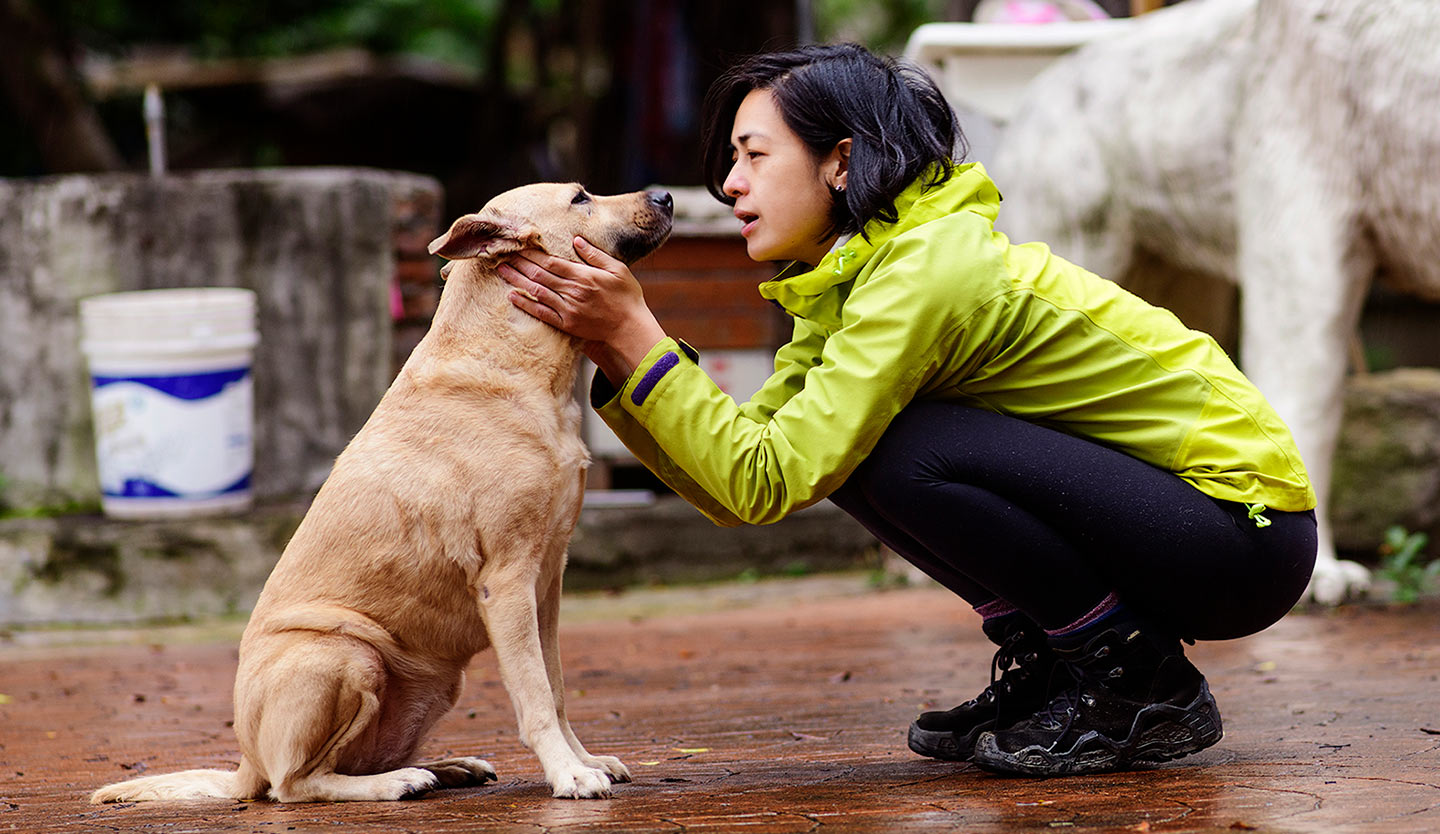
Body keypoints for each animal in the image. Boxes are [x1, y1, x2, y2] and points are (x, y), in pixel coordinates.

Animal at [91, 184, 673, 800]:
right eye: (581, 198)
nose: (665, 194)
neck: (512, 360)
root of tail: (245, 764)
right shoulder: (509, 580)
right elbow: (536, 695)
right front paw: (568, 773)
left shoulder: (547, 583)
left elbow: (558, 690)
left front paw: (584, 759)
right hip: (346, 655)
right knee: (296, 783)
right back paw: (398, 783)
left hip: (432, 683)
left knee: (343, 764)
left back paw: (446, 767)